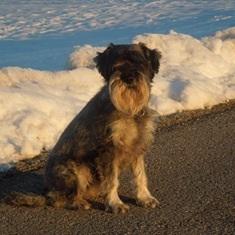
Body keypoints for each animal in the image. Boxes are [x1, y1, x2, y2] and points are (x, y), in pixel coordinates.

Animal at [7, 42, 162, 213]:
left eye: (139, 63)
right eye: (115, 66)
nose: (128, 78)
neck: (130, 111)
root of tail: (46, 190)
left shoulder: (138, 147)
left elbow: (140, 175)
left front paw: (145, 198)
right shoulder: (108, 150)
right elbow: (111, 180)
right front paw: (115, 203)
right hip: (78, 170)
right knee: (58, 199)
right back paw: (79, 203)